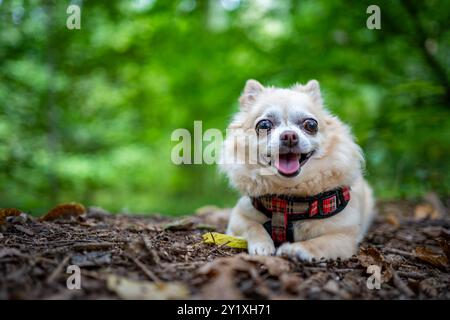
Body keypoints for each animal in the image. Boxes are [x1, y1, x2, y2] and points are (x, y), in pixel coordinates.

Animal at [220, 79, 374, 262]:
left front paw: (294, 249)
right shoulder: (238, 217)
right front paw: (262, 245)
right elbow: (253, 226)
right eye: (264, 125)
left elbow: (317, 243)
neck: (288, 200)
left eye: (311, 124)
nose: (289, 136)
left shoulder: (344, 237)